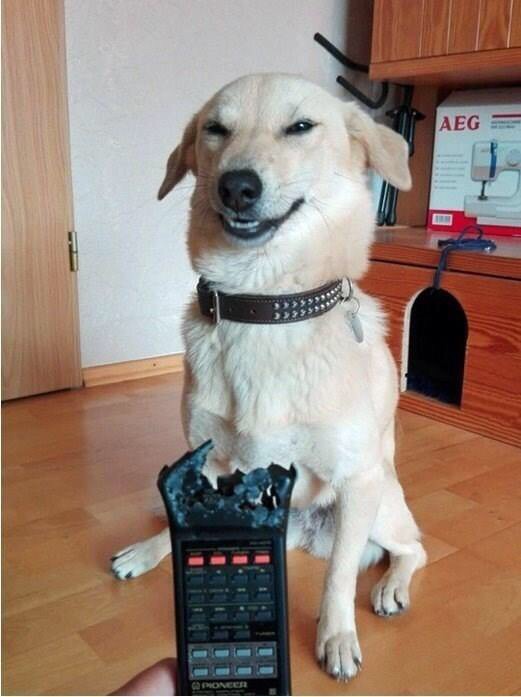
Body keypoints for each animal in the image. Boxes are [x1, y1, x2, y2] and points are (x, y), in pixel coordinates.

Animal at [111, 73, 426, 681]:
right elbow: (189, 524)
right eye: (215, 129)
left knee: (411, 549)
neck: (265, 306)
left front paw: (336, 637)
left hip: (380, 503)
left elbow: (337, 579)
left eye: (300, 126)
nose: (237, 187)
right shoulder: (209, 461)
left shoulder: (357, 479)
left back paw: (391, 588)